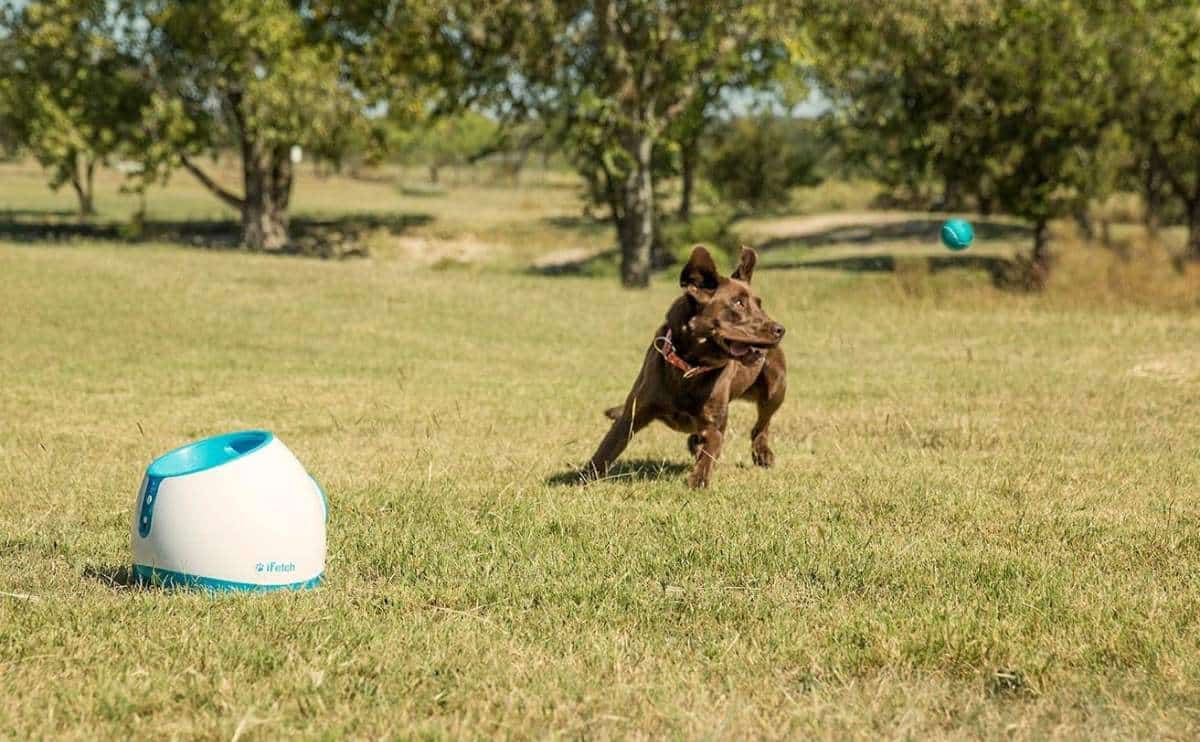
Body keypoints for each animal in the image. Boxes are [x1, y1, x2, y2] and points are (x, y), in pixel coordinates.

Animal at [583, 242, 787, 485]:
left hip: (775, 388)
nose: (780, 329)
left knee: (761, 425)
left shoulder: (714, 424)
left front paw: (698, 480)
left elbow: (711, 449)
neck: (690, 368)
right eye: (739, 303)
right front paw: (582, 477)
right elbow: (608, 447)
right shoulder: (633, 413)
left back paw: (762, 452)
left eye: (759, 305)